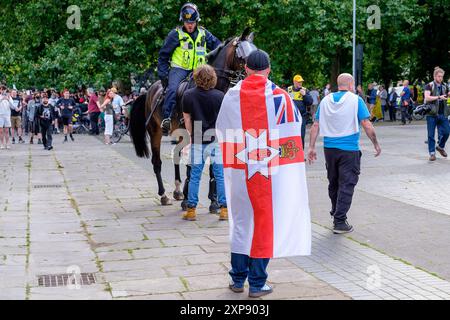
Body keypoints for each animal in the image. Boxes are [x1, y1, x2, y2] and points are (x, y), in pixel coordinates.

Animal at [130, 28, 256, 208]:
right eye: (242, 54)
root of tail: (149, 91)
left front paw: (214, 200)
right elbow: (193, 163)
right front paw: (193, 199)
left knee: (176, 155)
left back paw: (177, 191)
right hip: (156, 132)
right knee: (157, 162)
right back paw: (164, 195)